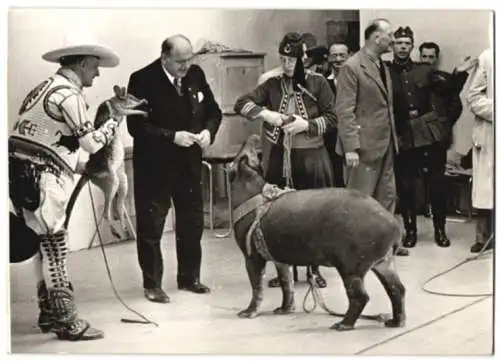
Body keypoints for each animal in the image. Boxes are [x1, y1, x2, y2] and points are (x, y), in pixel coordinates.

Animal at [63, 85, 147, 239]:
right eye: (131, 97)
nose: (143, 99)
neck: (113, 99)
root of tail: (88, 173)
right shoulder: (120, 110)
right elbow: (131, 111)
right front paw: (143, 111)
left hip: (122, 179)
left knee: (118, 206)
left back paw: (124, 228)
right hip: (110, 178)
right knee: (106, 212)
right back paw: (115, 231)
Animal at [227, 135, 406, 332]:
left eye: (241, 155)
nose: (253, 137)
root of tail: (394, 227)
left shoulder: (251, 256)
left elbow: (257, 286)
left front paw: (247, 313)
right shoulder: (280, 259)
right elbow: (286, 284)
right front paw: (284, 310)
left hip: (351, 266)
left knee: (360, 296)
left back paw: (342, 325)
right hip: (384, 263)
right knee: (397, 289)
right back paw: (395, 322)